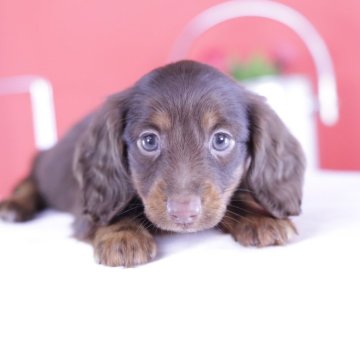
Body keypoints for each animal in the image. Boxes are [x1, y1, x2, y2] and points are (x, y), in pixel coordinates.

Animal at [0, 60, 306, 266]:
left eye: (221, 140)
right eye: (149, 141)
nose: (183, 213)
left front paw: (259, 217)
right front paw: (123, 234)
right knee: (28, 180)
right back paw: (14, 206)